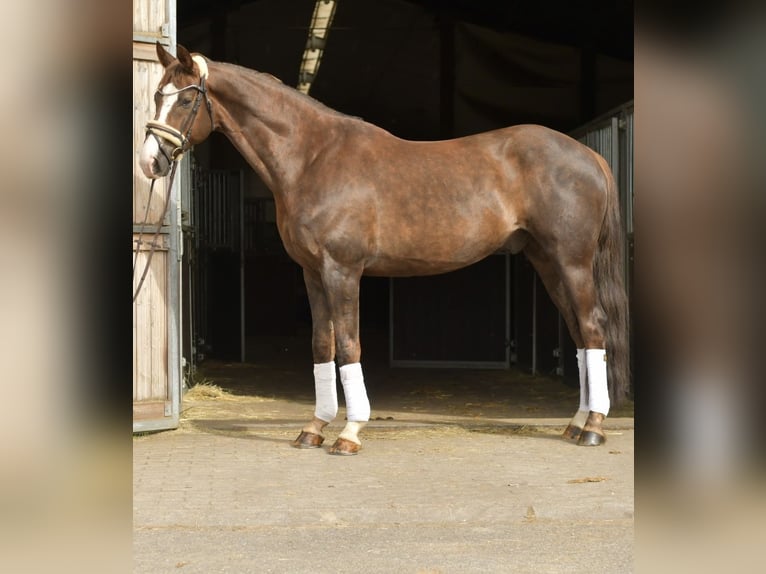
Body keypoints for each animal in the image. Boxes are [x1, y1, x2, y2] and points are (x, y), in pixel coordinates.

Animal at [139, 43, 629, 455]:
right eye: (157, 96)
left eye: (185, 100)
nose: (150, 162)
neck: (313, 157)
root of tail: (589, 156)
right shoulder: (312, 272)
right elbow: (322, 344)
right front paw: (314, 428)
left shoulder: (342, 270)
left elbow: (349, 344)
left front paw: (350, 433)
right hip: (547, 262)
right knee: (580, 336)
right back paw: (576, 423)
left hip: (572, 262)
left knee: (592, 328)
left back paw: (593, 428)